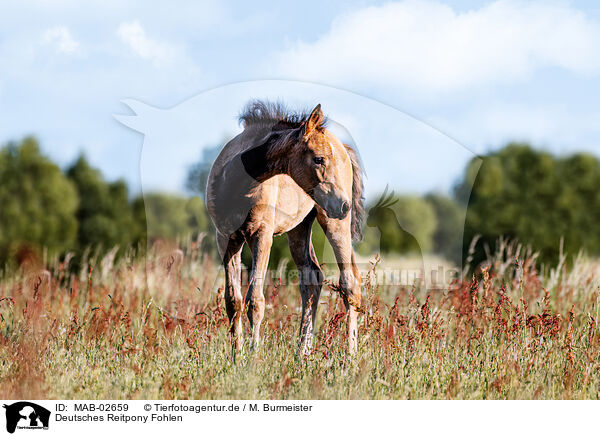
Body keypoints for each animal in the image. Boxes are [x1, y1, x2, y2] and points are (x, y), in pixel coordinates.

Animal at [206, 99, 366, 354]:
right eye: (318, 158)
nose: (344, 205)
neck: (235, 183)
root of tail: (344, 146)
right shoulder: (225, 238)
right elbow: (233, 301)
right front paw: (236, 355)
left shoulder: (262, 234)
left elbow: (256, 301)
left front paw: (253, 355)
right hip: (299, 228)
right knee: (312, 278)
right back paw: (303, 353)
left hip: (333, 222)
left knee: (350, 282)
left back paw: (350, 354)